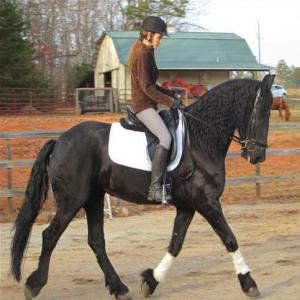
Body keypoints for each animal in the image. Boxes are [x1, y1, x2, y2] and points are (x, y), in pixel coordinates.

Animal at [11, 74, 274, 298]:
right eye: (262, 112)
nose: (258, 156)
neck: (201, 139)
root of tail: (59, 141)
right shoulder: (206, 202)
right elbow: (230, 239)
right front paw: (249, 283)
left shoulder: (188, 206)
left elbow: (175, 244)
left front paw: (151, 281)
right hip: (72, 200)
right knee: (50, 235)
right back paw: (34, 285)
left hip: (94, 198)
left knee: (96, 241)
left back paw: (119, 288)